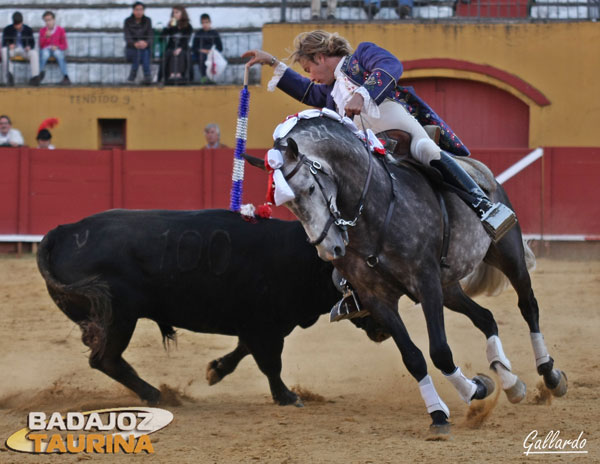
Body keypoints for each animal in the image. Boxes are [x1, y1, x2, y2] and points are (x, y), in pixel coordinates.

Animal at [36, 208, 384, 404]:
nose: (384, 329)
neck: (301, 258)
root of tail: (64, 232)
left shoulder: (260, 326)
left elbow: (243, 352)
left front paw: (214, 371)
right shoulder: (264, 327)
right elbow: (270, 364)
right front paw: (287, 397)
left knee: (106, 359)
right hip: (119, 318)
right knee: (105, 359)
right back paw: (156, 395)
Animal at [258, 116, 568, 432]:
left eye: (310, 188)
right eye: (287, 205)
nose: (329, 248)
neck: (373, 211)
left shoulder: (425, 281)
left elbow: (440, 351)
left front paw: (473, 391)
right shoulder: (377, 298)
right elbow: (413, 357)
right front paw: (445, 409)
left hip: (507, 254)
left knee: (528, 306)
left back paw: (550, 376)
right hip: (450, 287)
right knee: (486, 318)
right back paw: (510, 383)